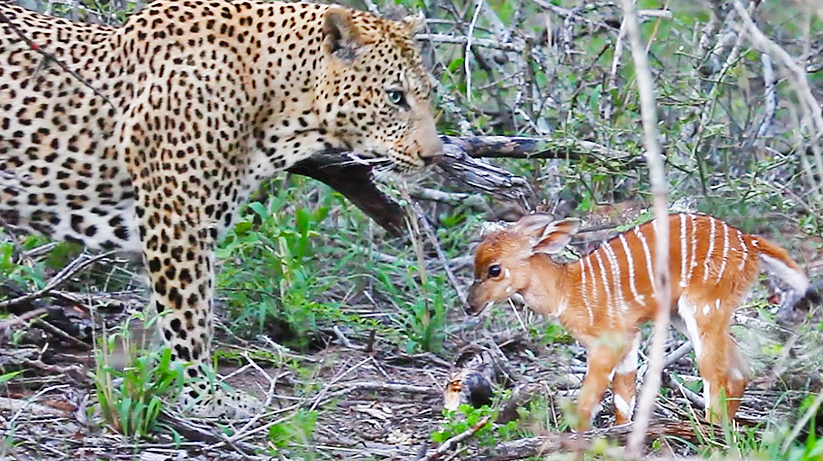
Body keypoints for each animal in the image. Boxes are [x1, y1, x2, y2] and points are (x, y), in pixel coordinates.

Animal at [0, 0, 440, 416]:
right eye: (395, 96)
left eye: (428, 94)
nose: (434, 156)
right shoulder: (178, 221)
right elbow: (190, 317)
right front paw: (205, 396)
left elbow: (160, 321)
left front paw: (145, 381)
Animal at [470, 212, 812, 428]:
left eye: (494, 269)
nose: (470, 305)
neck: (567, 289)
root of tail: (750, 242)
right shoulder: (630, 336)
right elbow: (623, 400)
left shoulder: (609, 341)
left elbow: (587, 403)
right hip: (686, 314)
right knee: (740, 370)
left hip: (702, 308)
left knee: (716, 376)